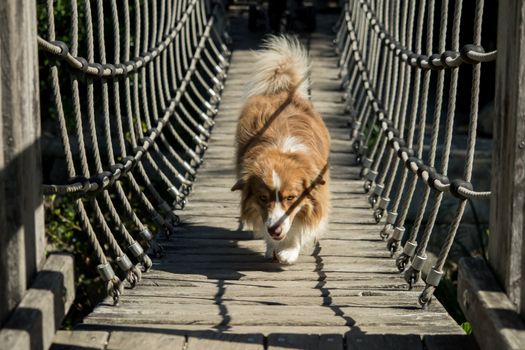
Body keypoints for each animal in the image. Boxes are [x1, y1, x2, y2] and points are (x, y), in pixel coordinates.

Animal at [231, 36, 330, 266]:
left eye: (291, 198)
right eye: (262, 198)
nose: (275, 230)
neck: (281, 151)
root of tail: (280, 90)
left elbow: (300, 226)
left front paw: (289, 251)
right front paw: (273, 247)